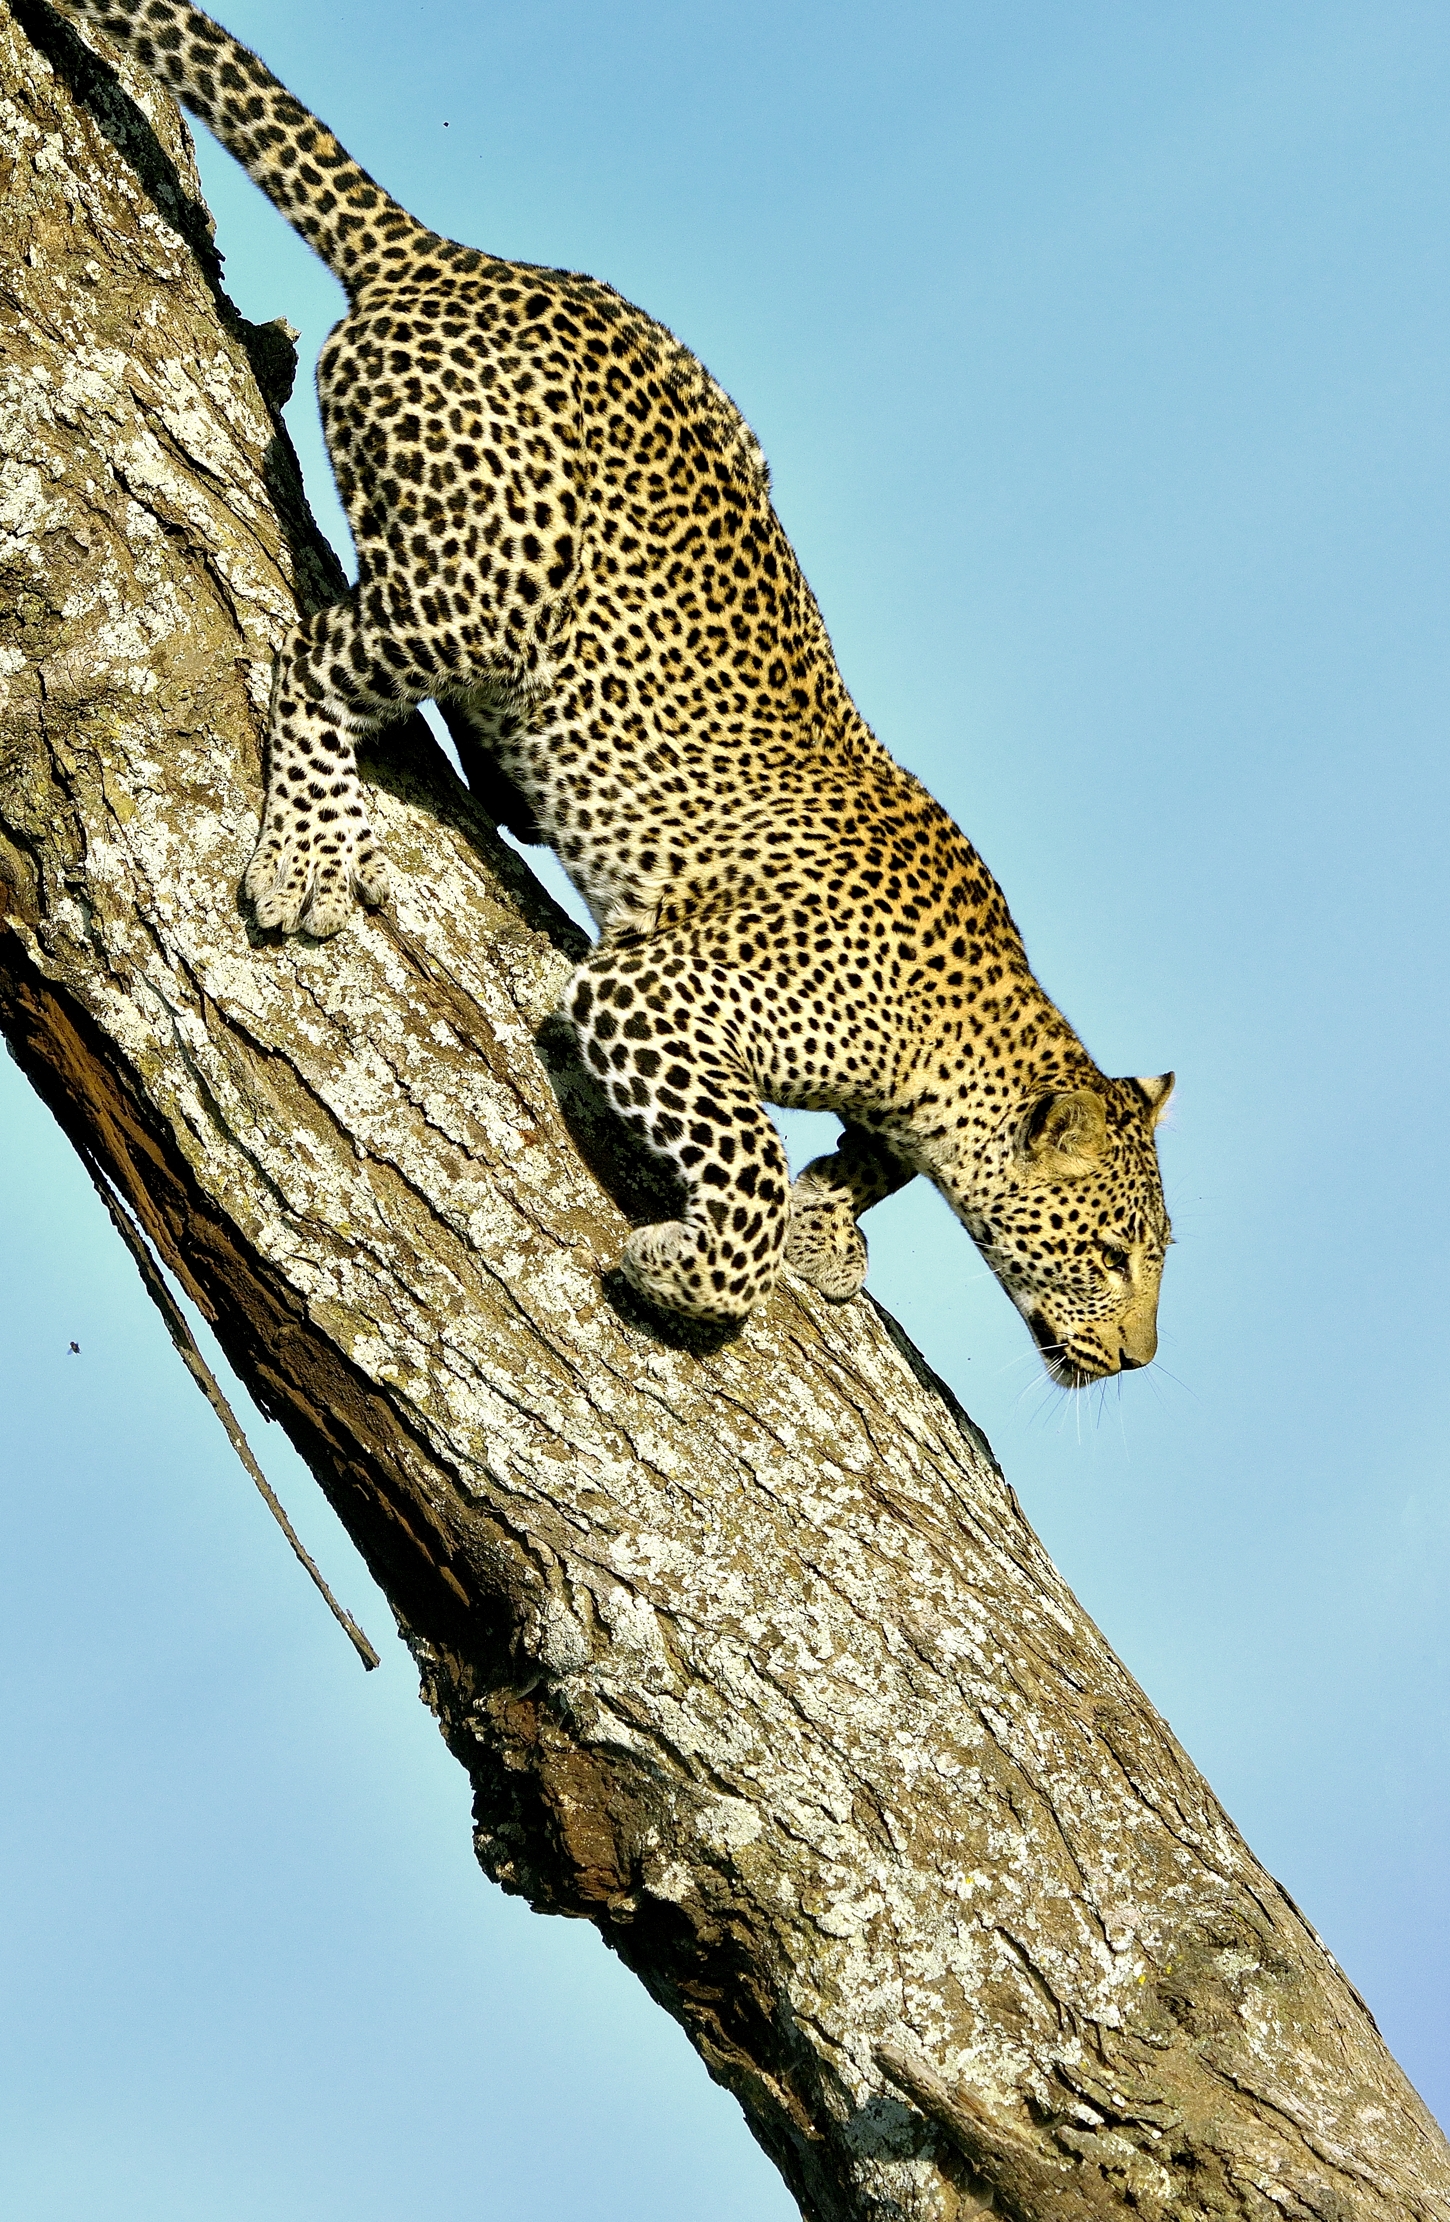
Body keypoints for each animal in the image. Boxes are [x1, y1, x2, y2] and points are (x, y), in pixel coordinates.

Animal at [45, 0, 1174, 1379]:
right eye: (1111, 1253)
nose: (1141, 1355)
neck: (969, 1045)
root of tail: (452, 259)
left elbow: (859, 1162)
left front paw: (830, 1225)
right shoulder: (656, 990)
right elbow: (750, 1165)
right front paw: (693, 1264)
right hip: (496, 574)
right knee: (316, 654)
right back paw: (312, 848)